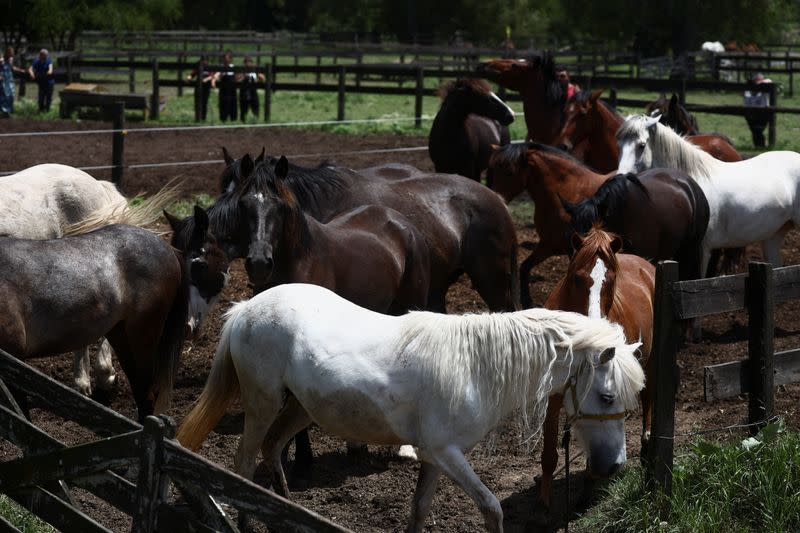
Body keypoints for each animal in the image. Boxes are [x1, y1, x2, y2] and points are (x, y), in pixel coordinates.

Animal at [177, 284, 644, 528]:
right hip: (262, 403)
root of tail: (246, 308)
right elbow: (491, 507)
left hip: (301, 408)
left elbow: (419, 510)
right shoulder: (443, 452)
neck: (474, 365)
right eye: (606, 397)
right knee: (243, 463)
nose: (616, 466)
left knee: (272, 448)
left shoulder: (434, 459)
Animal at [536, 228, 656, 508]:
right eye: (577, 278)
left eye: (611, 280)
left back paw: (646, 442)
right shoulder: (554, 392)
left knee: (649, 396)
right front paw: (543, 503)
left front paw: (588, 488)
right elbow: (549, 451)